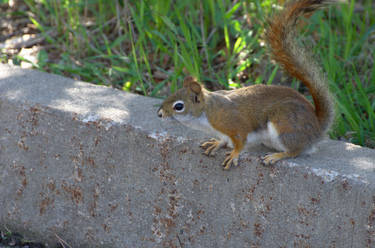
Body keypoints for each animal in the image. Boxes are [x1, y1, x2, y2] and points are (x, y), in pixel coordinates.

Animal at [158, 0, 340, 170]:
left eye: (178, 106)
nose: (159, 114)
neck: (206, 112)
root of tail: (317, 128)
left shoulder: (232, 123)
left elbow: (240, 141)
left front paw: (234, 154)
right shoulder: (223, 132)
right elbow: (223, 140)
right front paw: (216, 144)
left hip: (284, 125)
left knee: (295, 150)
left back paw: (276, 156)